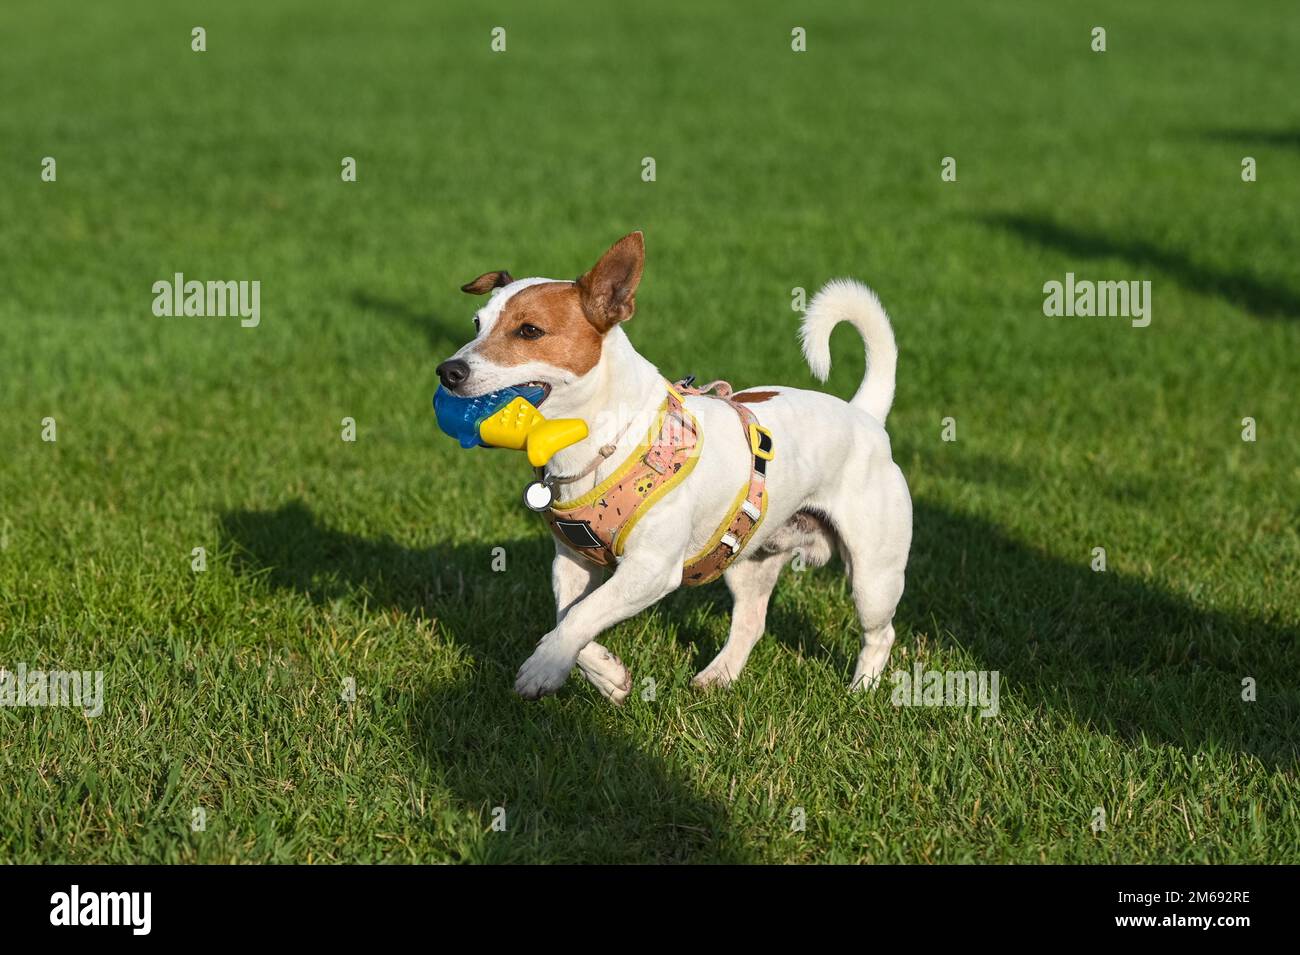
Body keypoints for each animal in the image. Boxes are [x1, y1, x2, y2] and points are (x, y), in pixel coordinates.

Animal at [436, 231, 915, 701]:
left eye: (529, 330)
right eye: (477, 324)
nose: (448, 371)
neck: (600, 443)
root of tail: (864, 414)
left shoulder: (651, 569)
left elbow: (582, 615)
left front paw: (543, 668)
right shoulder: (572, 563)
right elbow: (568, 615)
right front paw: (607, 674)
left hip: (873, 574)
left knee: (882, 633)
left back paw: (862, 689)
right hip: (750, 559)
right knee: (751, 621)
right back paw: (719, 676)